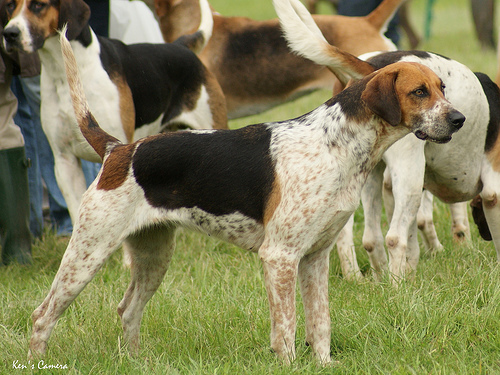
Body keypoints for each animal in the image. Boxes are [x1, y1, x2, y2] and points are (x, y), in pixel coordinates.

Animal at [1, 0, 227, 223]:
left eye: (39, 5)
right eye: (10, 5)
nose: (10, 33)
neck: (62, 72)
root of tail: (178, 45)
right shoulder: (65, 161)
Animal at [27, 26, 464, 368]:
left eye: (443, 88)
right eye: (419, 92)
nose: (459, 119)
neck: (336, 144)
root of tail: (119, 149)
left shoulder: (315, 258)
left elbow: (320, 323)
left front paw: (323, 363)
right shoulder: (280, 257)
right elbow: (286, 328)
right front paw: (289, 364)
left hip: (153, 256)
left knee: (127, 310)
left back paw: (134, 362)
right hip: (87, 255)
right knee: (42, 316)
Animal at [276, 0, 500, 282]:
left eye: (443, 88)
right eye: (420, 92)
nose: (459, 119)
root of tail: (374, 68)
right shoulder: (492, 191)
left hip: (367, 179)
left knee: (368, 238)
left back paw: (367, 277)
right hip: (409, 177)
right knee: (394, 237)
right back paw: (397, 286)